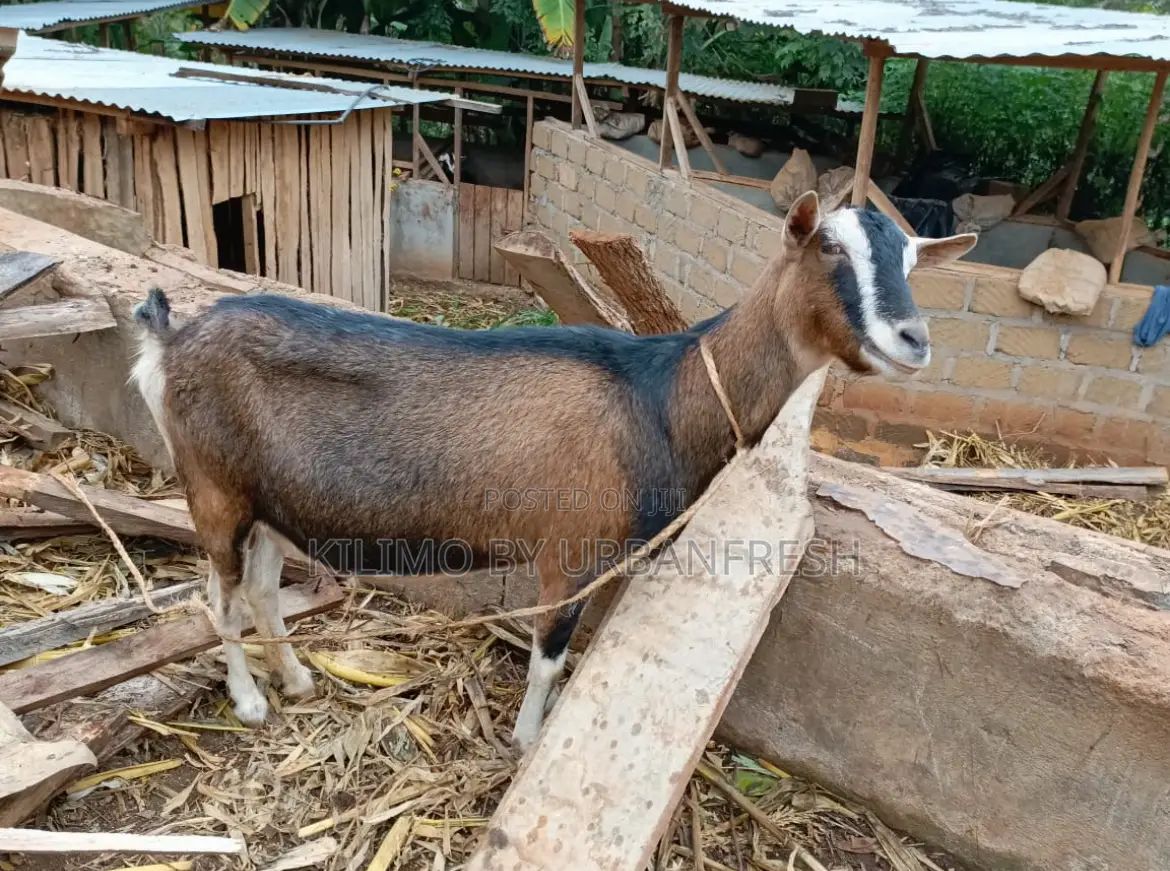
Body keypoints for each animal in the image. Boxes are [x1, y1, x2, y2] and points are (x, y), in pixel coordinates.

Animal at [129, 192, 976, 754]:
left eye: (911, 258)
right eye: (829, 247)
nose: (913, 338)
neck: (662, 397)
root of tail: (172, 341)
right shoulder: (567, 552)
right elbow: (548, 657)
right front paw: (527, 740)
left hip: (270, 499)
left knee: (261, 589)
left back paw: (297, 680)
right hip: (214, 490)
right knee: (218, 597)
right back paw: (249, 701)